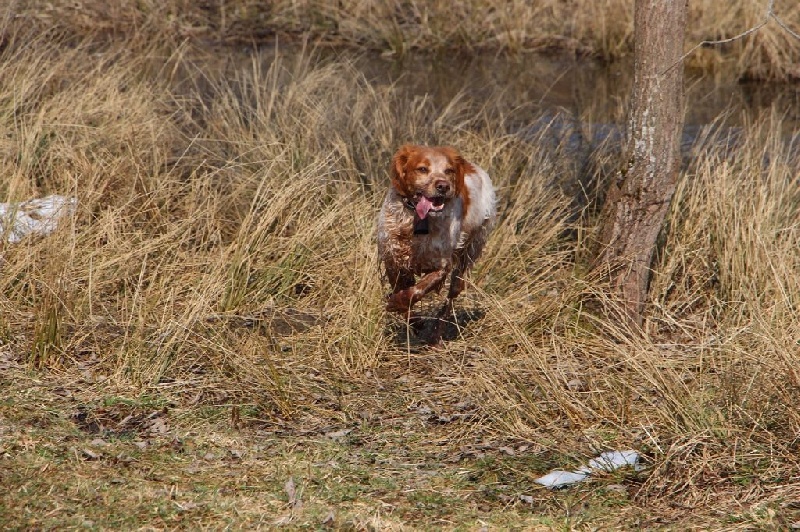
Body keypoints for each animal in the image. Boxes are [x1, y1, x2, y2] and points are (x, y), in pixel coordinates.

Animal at [376, 144, 494, 344]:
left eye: (449, 171)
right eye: (422, 169)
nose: (443, 186)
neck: (416, 220)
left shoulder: (441, 266)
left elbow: (415, 291)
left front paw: (397, 304)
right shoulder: (392, 259)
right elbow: (404, 293)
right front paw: (414, 322)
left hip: (468, 256)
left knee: (450, 299)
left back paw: (436, 336)